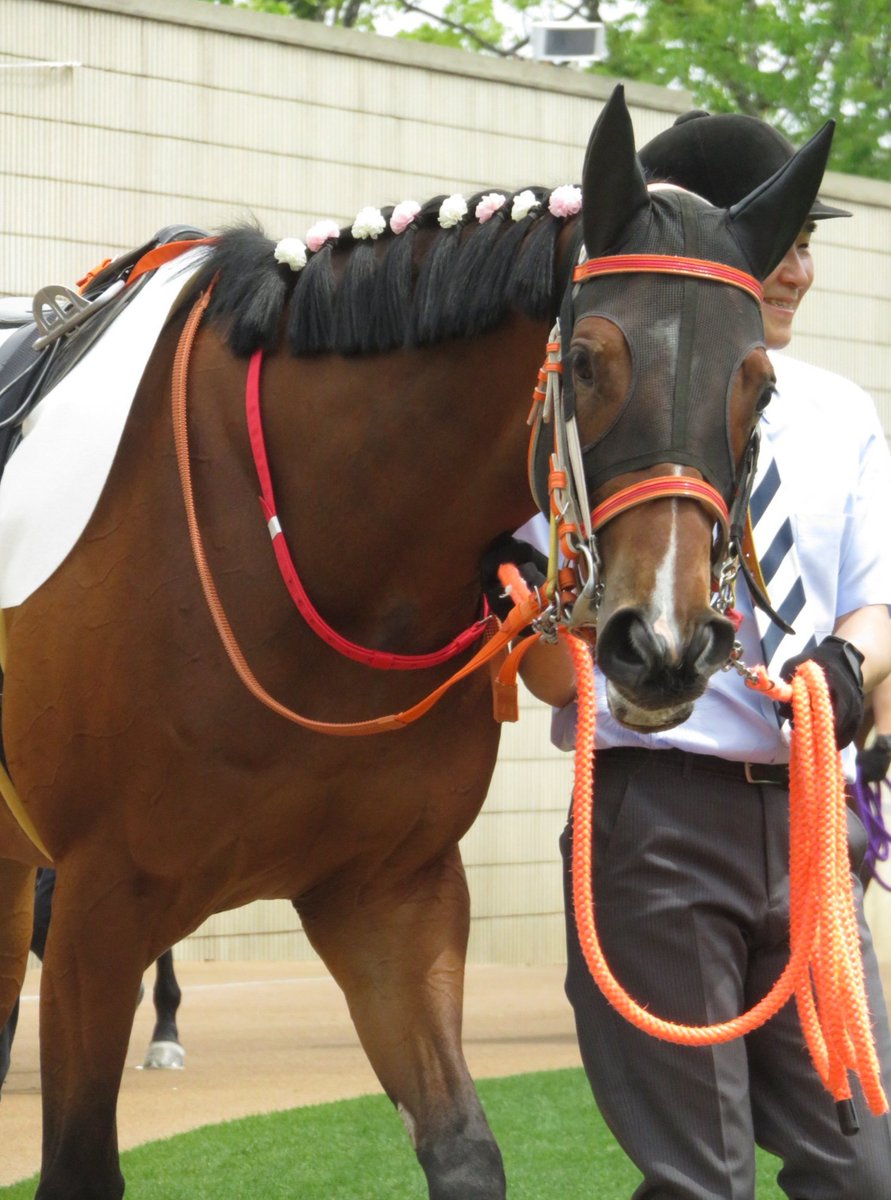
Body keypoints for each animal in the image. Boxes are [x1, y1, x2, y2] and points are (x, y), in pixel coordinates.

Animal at [0, 88, 830, 1195]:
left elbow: (464, 1146)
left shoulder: (391, 894)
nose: (662, 642)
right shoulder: (98, 907)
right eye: (585, 360)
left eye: (761, 386)